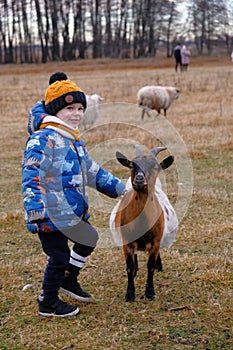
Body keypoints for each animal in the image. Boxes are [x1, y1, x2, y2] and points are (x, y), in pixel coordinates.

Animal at [109, 146, 178, 302]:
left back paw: (159, 265)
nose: (139, 179)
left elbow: (150, 266)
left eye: (155, 166)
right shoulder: (126, 242)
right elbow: (129, 267)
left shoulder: (155, 242)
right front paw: (129, 294)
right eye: (131, 165)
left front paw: (150, 292)